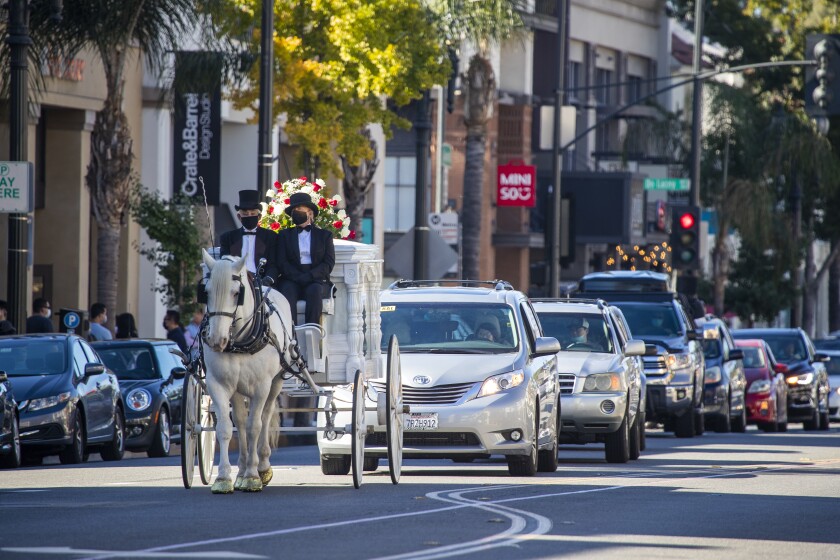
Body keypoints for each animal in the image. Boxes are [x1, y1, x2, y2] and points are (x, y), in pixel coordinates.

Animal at [199, 252, 298, 492]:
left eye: (236, 293)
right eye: (206, 292)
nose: (216, 340)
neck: (239, 341)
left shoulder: (261, 386)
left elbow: (256, 426)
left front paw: (253, 476)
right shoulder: (218, 384)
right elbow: (226, 427)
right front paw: (224, 477)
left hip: (276, 382)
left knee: (265, 415)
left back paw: (262, 466)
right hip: (237, 388)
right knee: (241, 420)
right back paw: (241, 469)